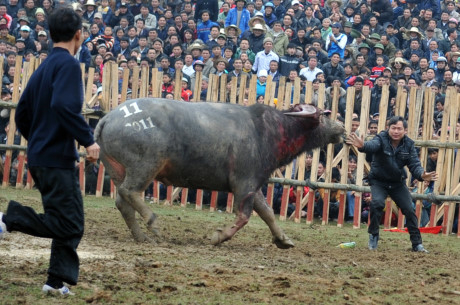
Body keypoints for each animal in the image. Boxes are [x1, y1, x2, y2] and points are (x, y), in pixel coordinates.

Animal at [94, 98, 344, 248]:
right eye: (324, 115)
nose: (341, 127)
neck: (268, 130)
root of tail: (108, 118)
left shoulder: (254, 184)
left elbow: (267, 212)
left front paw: (283, 239)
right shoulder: (244, 183)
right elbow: (245, 216)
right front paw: (218, 237)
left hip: (117, 169)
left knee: (122, 201)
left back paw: (140, 236)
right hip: (145, 165)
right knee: (130, 192)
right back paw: (152, 222)